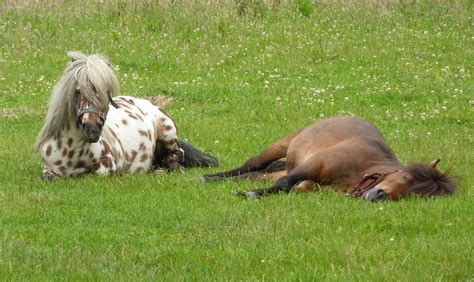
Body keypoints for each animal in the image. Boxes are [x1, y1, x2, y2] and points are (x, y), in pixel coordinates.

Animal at [36, 51, 218, 178]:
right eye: (78, 90)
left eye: (106, 92)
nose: (92, 130)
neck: (72, 150)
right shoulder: (47, 168)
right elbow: (49, 176)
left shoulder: (108, 164)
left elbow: (94, 173)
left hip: (168, 133)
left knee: (176, 157)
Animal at [202, 116, 458, 200]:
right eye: (405, 177)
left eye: (414, 195)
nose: (379, 196)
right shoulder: (314, 164)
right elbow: (284, 184)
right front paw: (250, 195)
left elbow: (299, 187)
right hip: (284, 144)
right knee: (254, 164)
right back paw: (211, 177)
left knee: (258, 174)